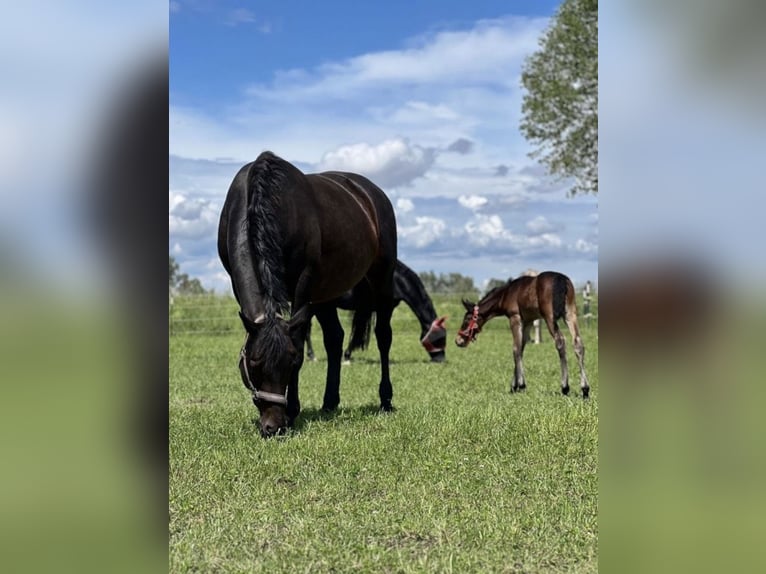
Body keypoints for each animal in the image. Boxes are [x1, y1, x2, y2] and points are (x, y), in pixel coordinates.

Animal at [214, 151, 396, 438]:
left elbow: (299, 340)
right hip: (325, 292)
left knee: (383, 336)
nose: (273, 426)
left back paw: (386, 400)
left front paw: (293, 411)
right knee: (334, 338)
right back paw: (329, 403)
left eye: (292, 363)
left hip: (382, 279)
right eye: (253, 363)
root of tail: (372, 193)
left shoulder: (304, 281)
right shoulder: (234, 279)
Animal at [456, 272, 592, 398]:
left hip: (550, 317)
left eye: (467, 319)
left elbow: (516, 349)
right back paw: (585, 389)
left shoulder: (515, 318)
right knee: (578, 343)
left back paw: (565, 387)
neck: (506, 294)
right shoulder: (528, 321)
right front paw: (514, 386)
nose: (458, 340)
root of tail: (562, 280)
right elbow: (521, 348)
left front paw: (521, 385)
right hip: (570, 314)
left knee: (560, 341)